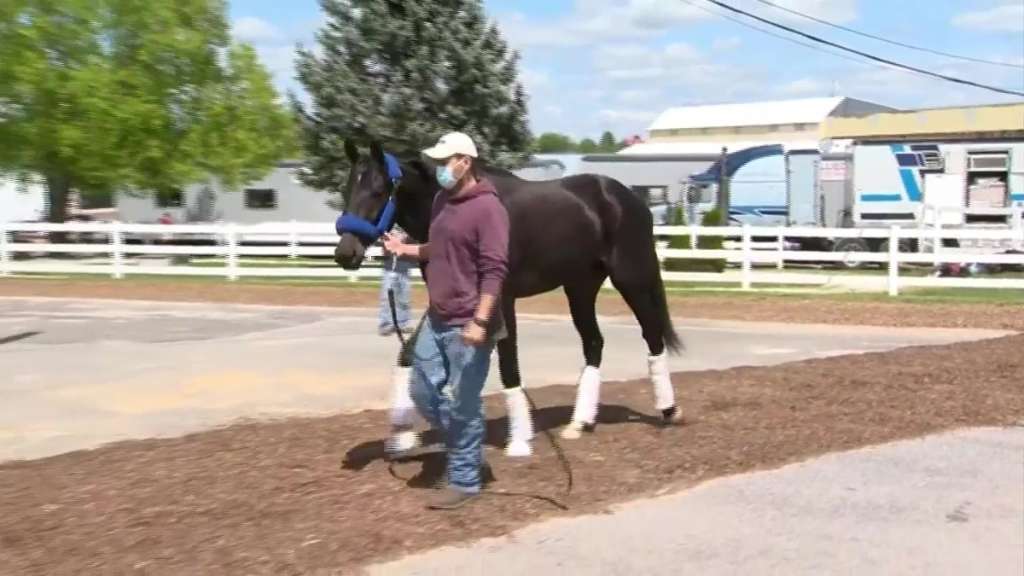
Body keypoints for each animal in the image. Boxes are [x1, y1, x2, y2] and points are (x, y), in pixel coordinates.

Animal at [335, 141, 684, 455]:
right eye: (348, 188)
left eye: (378, 190)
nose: (344, 253)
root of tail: (630, 198)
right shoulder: (446, 299)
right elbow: (407, 353)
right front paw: (402, 435)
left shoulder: (502, 299)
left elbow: (508, 364)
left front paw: (518, 439)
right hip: (580, 287)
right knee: (594, 343)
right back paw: (580, 423)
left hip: (630, 279)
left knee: (652, 335)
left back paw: (669, 411)